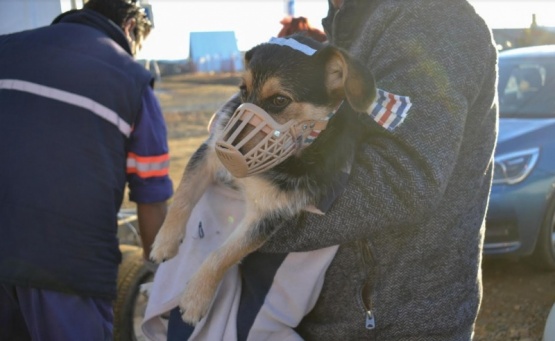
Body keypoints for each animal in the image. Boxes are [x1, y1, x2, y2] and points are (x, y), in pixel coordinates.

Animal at [150, 34, 378, 324]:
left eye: (280, 100)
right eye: (242, 89)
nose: (227, 152)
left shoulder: (269, 214)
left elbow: (224, 254)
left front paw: (195, 298)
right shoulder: (208, 153)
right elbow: (183, 197)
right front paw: (164, 242)